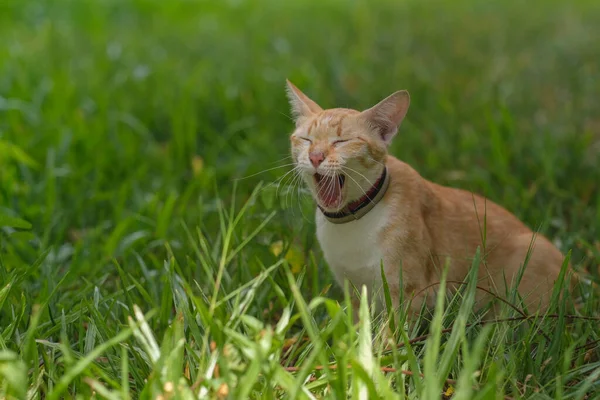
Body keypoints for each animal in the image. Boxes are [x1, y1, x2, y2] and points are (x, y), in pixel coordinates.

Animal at [286, 79, 572, 320]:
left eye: (342, 141)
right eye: (306, 140)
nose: (315, 157)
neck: (352, 223)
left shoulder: (407, 292)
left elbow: (389, 340)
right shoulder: (355, 292)